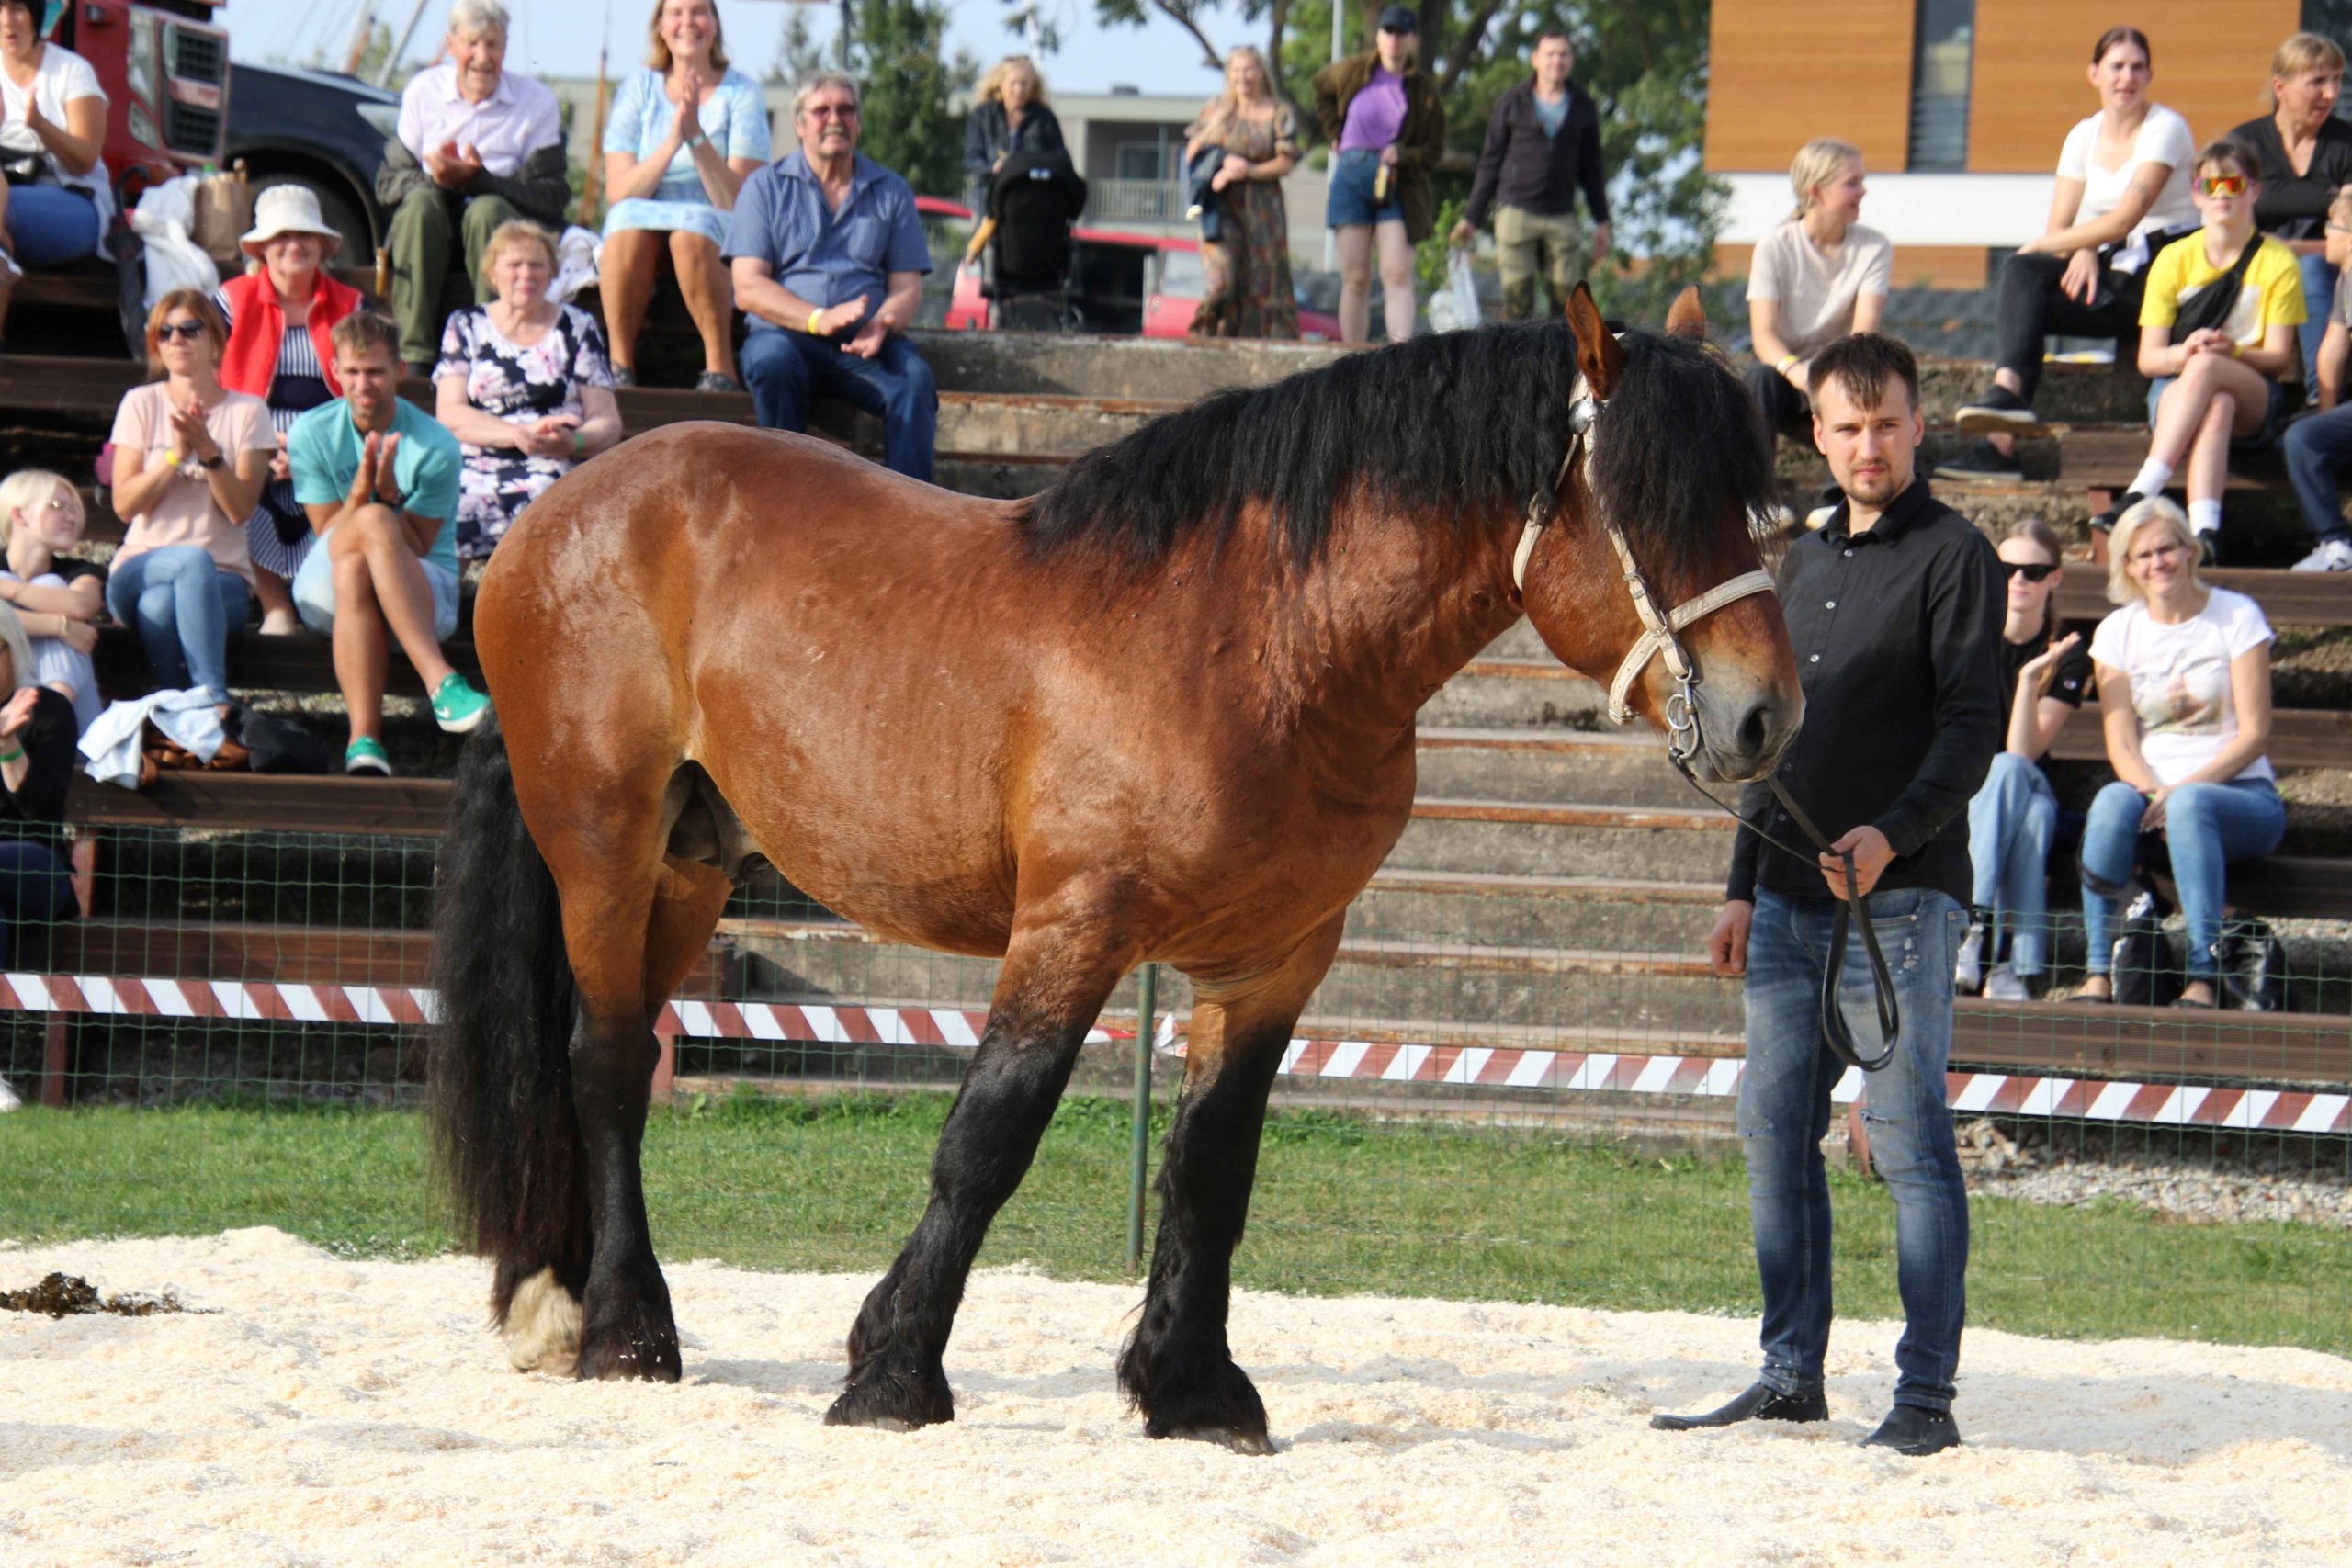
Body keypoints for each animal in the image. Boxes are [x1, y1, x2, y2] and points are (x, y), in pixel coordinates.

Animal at [427, 285, 1796, 1448]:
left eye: (1757, 503)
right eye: (1650, 503)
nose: (1763, 718)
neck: (1258, 643)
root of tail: (562, 508)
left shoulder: (1273, 959)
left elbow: (1213, 1163)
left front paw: (1190, 1386)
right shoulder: (1073, 928)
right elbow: (990, 1135)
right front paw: (893, 1370)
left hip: (693, 862)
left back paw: (563, 1301)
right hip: (603, 846)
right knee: (606, 1063)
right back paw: (621, 1329)